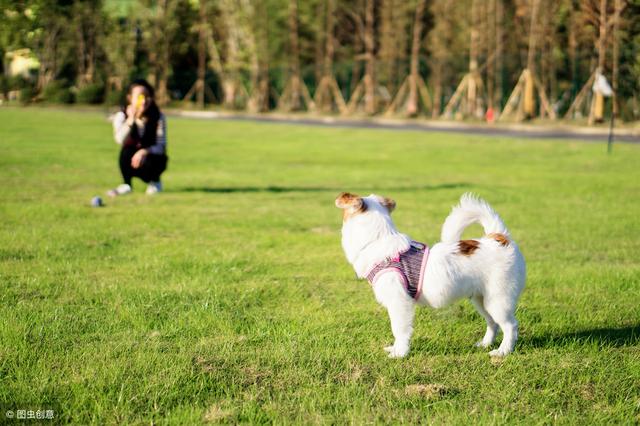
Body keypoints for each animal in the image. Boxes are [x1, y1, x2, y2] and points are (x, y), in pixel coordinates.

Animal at [336, 192, 524, 356]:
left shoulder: (399, 303)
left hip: (498, 299)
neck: (377, 240)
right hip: (481, 299)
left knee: (510, 326)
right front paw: (395, 349)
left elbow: (399, 329)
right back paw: (485, 344)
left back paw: (503, 351)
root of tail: (499, 237)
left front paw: (400, 353)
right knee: (493, 323)